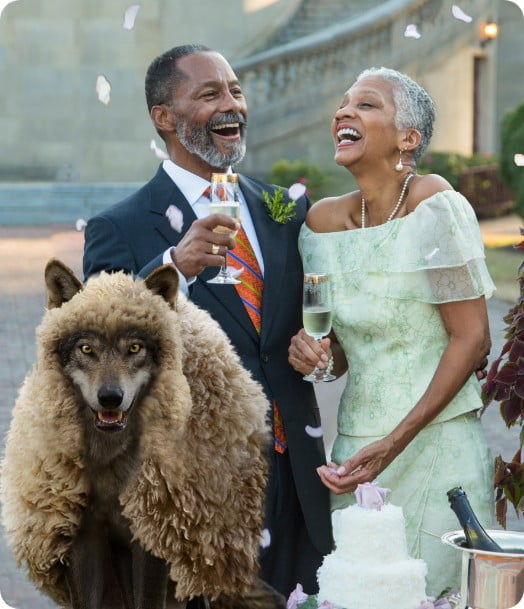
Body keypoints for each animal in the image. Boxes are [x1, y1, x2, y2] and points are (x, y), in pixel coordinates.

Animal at [0, 258, 284, 608]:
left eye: (135, 348)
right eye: (86, 348)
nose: (110, 397)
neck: (110, 459)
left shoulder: (155, 537)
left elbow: (148, 599)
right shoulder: (82, 535)